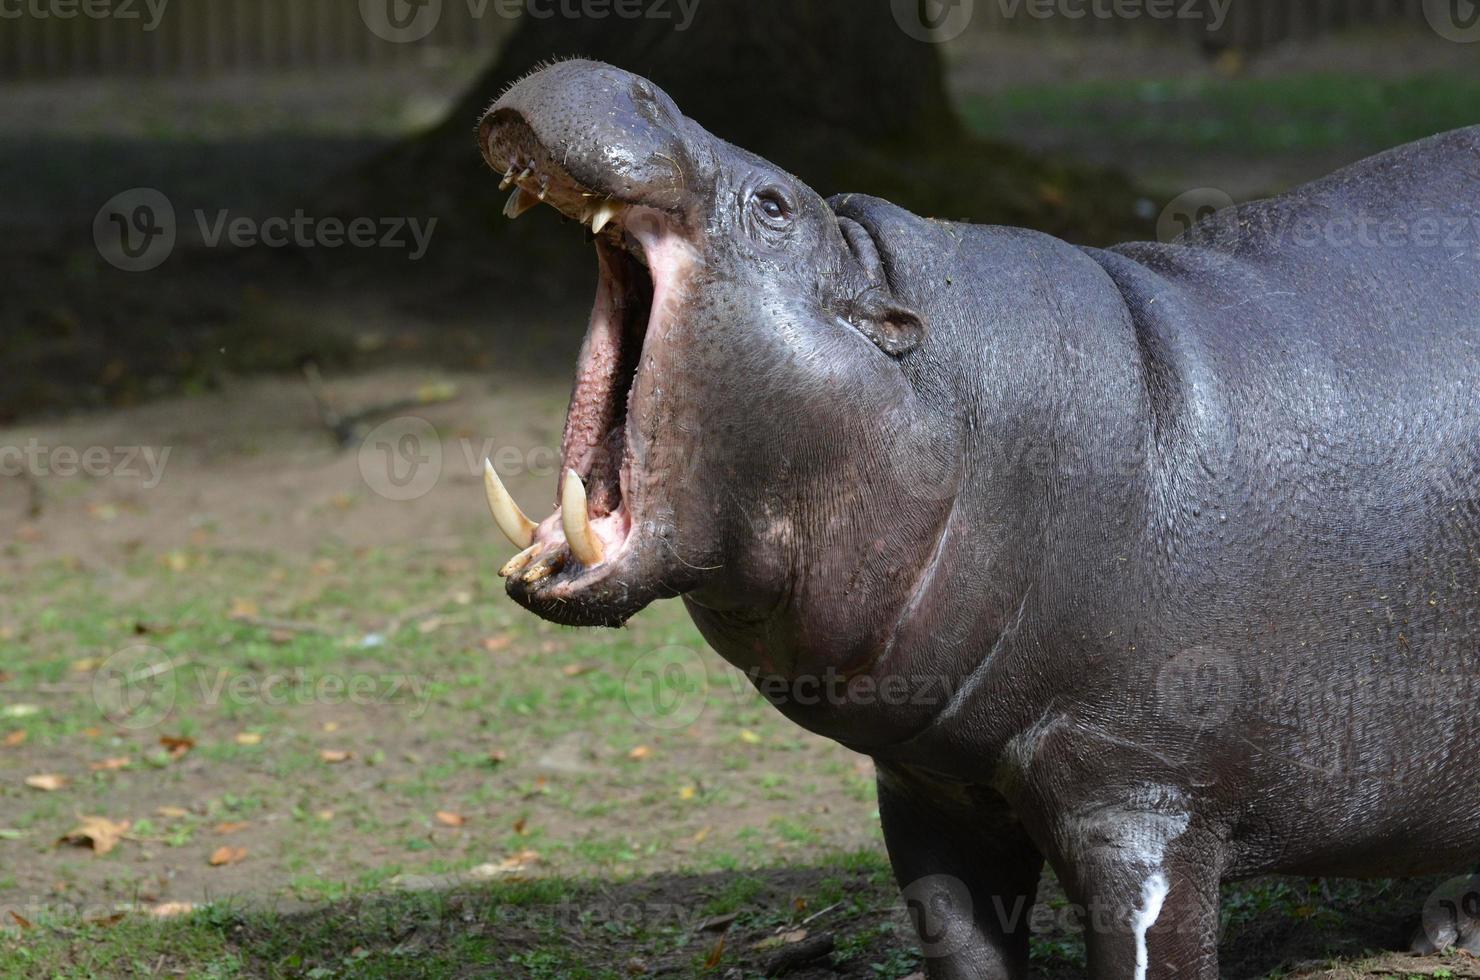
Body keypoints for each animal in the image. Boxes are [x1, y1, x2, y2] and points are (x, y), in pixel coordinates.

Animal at [473, 57, 1480, 977]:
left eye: (775, 205)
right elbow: (958, 940)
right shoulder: (932, 788)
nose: (619, 77)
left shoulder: (1145, 800)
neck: (951, 401)